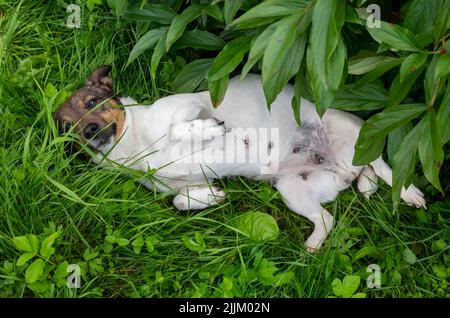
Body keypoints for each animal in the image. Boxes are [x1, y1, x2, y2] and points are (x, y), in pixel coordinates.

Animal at [53, 66, 426, 252]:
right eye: (67, 129)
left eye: (92, 102)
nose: (89, 130)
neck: (138, 147)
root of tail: (343, 167)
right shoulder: (180, 184)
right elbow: (178, 200)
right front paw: (209, 198)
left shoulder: (189, 106)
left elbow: (180, 126)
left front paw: (208, 130)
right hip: (294, 191)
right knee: (327, 217)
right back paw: (314, 243)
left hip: (355, 131)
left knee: (386, 168)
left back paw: (409, 194)